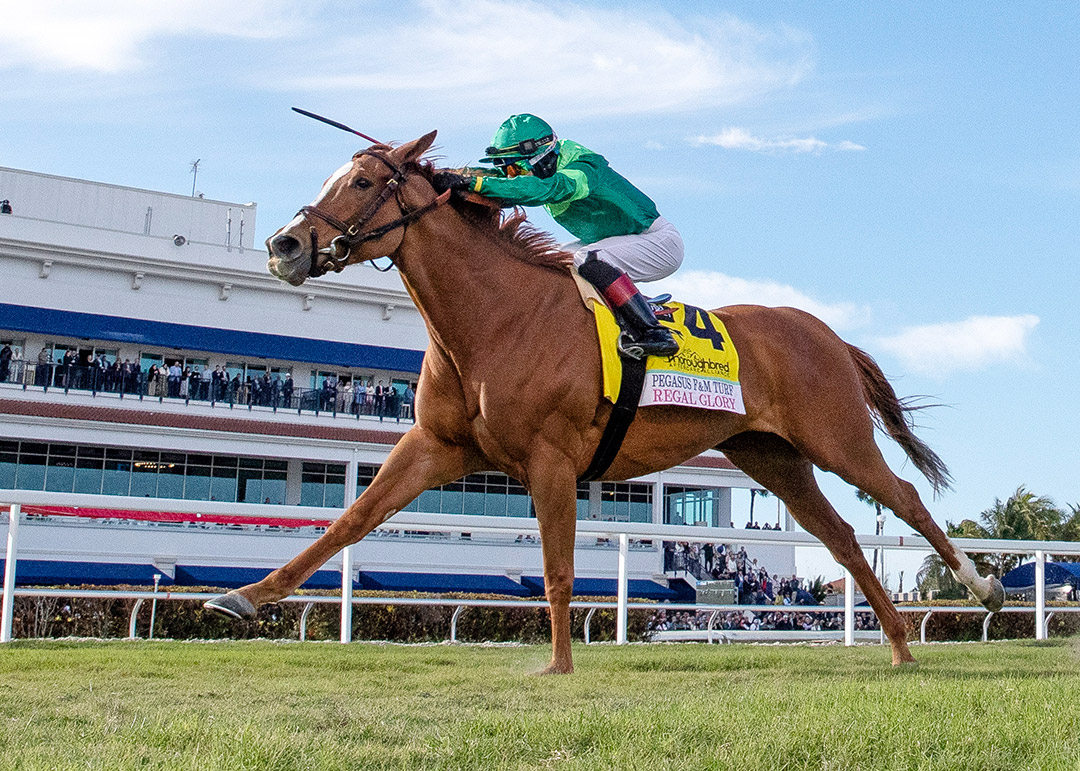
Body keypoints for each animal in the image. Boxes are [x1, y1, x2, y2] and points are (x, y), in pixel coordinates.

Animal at [206, 131, 1003, 673]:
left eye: (366, 179)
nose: (285, 244)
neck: (496, 315)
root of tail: (827, 333)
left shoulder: (551, 457)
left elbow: (558, 566)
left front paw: (557, 664)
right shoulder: (436, 446)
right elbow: (350, 521)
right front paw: (244, 596)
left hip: (837, 438)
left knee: (905, 499)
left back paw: (983, 587)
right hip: (772, 456)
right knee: (839, 536)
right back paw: (898, 645)